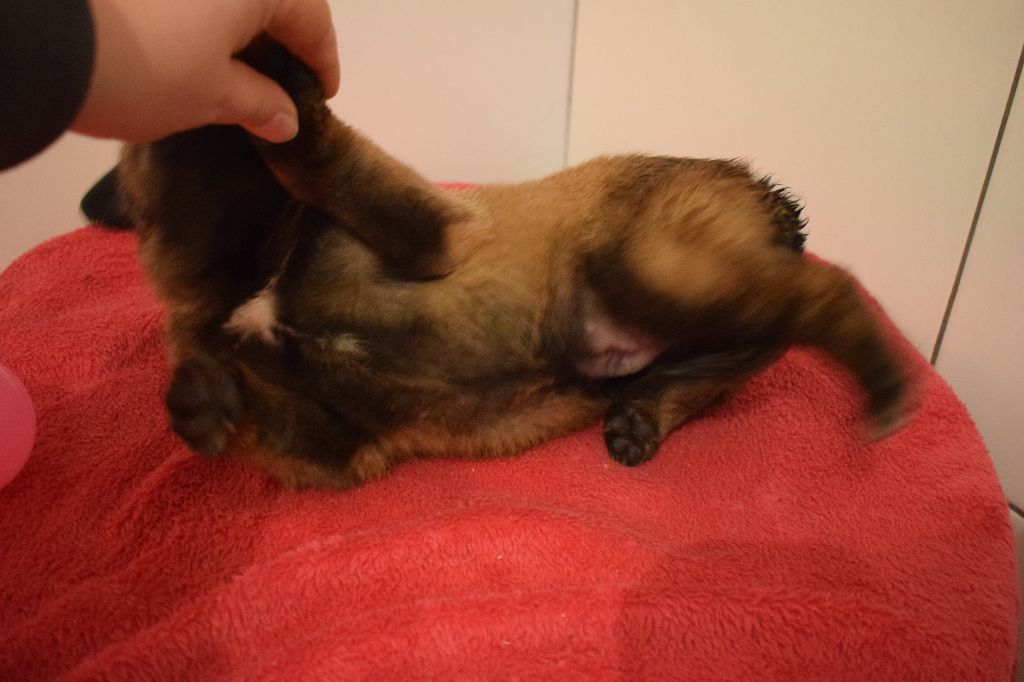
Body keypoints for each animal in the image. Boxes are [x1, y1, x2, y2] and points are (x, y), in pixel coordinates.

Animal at [82, 45, 910, 489]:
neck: (254, 265)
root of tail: (773, 195)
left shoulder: (435, 233)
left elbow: (319, 155)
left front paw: (289, 89)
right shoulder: (334, 444)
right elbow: (251, 412)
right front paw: (198, 402)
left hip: (655, 266)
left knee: (824, 294)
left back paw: (883, 383)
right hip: (689, 298)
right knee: (761, 334)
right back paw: (644, 416)